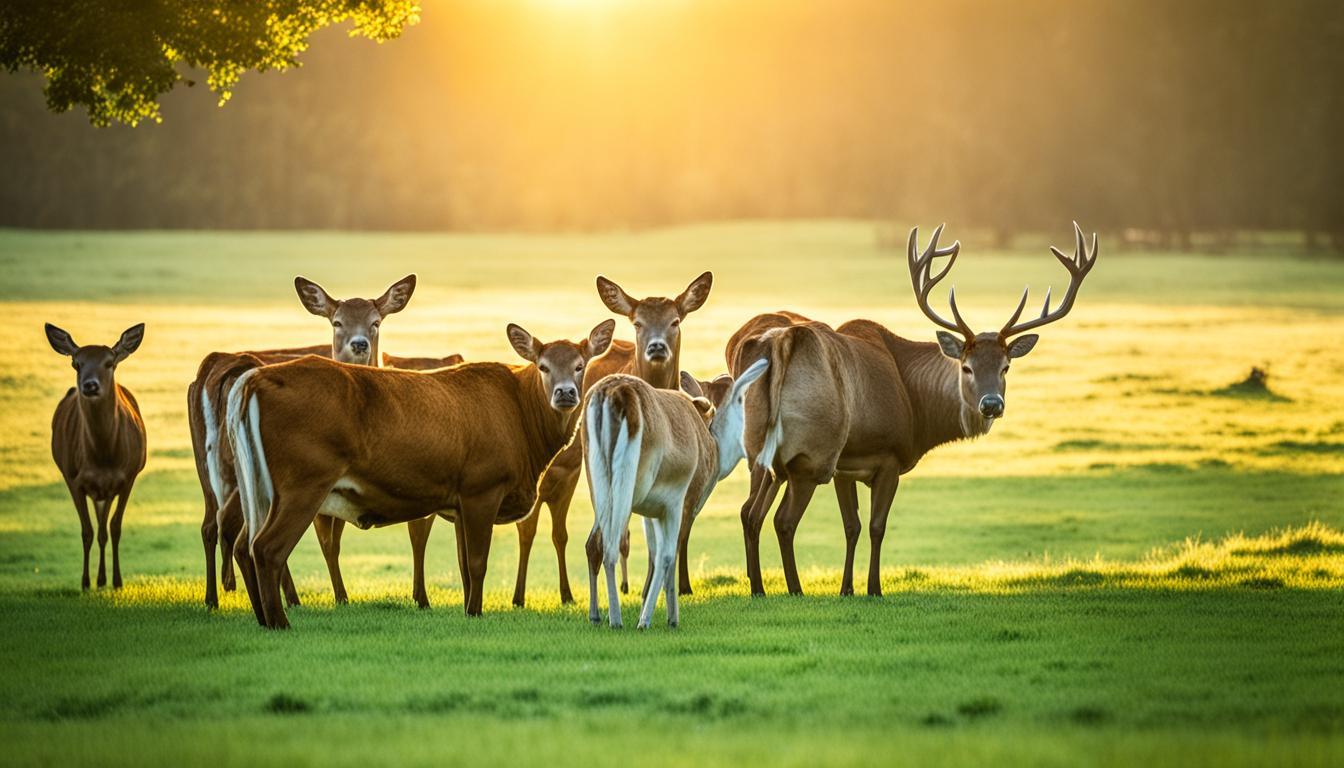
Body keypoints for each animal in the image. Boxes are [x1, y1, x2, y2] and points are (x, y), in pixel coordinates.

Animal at [47, 321, 148, 591]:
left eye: (109, 362)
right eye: (76, 363)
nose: (90, 385)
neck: (103, 457)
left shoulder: (129, 476)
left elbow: (115, 527)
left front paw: (117, 581)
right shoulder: (73, 477)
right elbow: (87, 531)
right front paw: (85, 582)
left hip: (108, 491)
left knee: (105, 527)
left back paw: (104, 579)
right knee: (97, 528)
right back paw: (98, 580)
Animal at [227, 321, 615, 626]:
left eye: (580, 365)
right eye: (543, 366)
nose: (565, 393)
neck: (521, 421)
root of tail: (256, 379)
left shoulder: (459, 501)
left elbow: (463, 565)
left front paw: (468, 611)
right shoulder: (482, 487)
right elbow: (477, 563)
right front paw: (476, 613)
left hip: (260, 486)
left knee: (243, 544)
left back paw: (262, 617)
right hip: (304, 481)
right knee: (267, 548)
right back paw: (279, 623)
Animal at [510, 270, 715, 607]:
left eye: (675, 321)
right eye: (638, 322)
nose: (656, 348)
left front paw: (655, 590)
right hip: (563, 464)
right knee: (532, 524)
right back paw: (523, 595)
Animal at [585, 357, 774, 626]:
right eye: (743, 401)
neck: (714, 451)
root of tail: (612, 394)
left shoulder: (653, 509)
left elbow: (656, 552)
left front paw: (650, 607)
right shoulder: (680, 500)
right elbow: (669, 553)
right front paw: (661, 617)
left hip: (597, 479)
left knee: (594, 543)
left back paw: (596, 614)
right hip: (627, 481)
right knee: (611, 544)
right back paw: (617, 619)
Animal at [736, 225, 1102, 597]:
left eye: (1006, 367)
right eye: (966, 367)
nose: (991, 404)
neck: (916, 411)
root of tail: (782, 343)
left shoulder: (845, 466)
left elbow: (852, 526)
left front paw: (847, 589)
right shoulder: (887, 457)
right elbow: (876, 526)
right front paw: (874, 588)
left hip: (761, 452)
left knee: (750, 512)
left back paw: (759, 588)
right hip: (811, 454)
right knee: (782, 520)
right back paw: (794, 589)